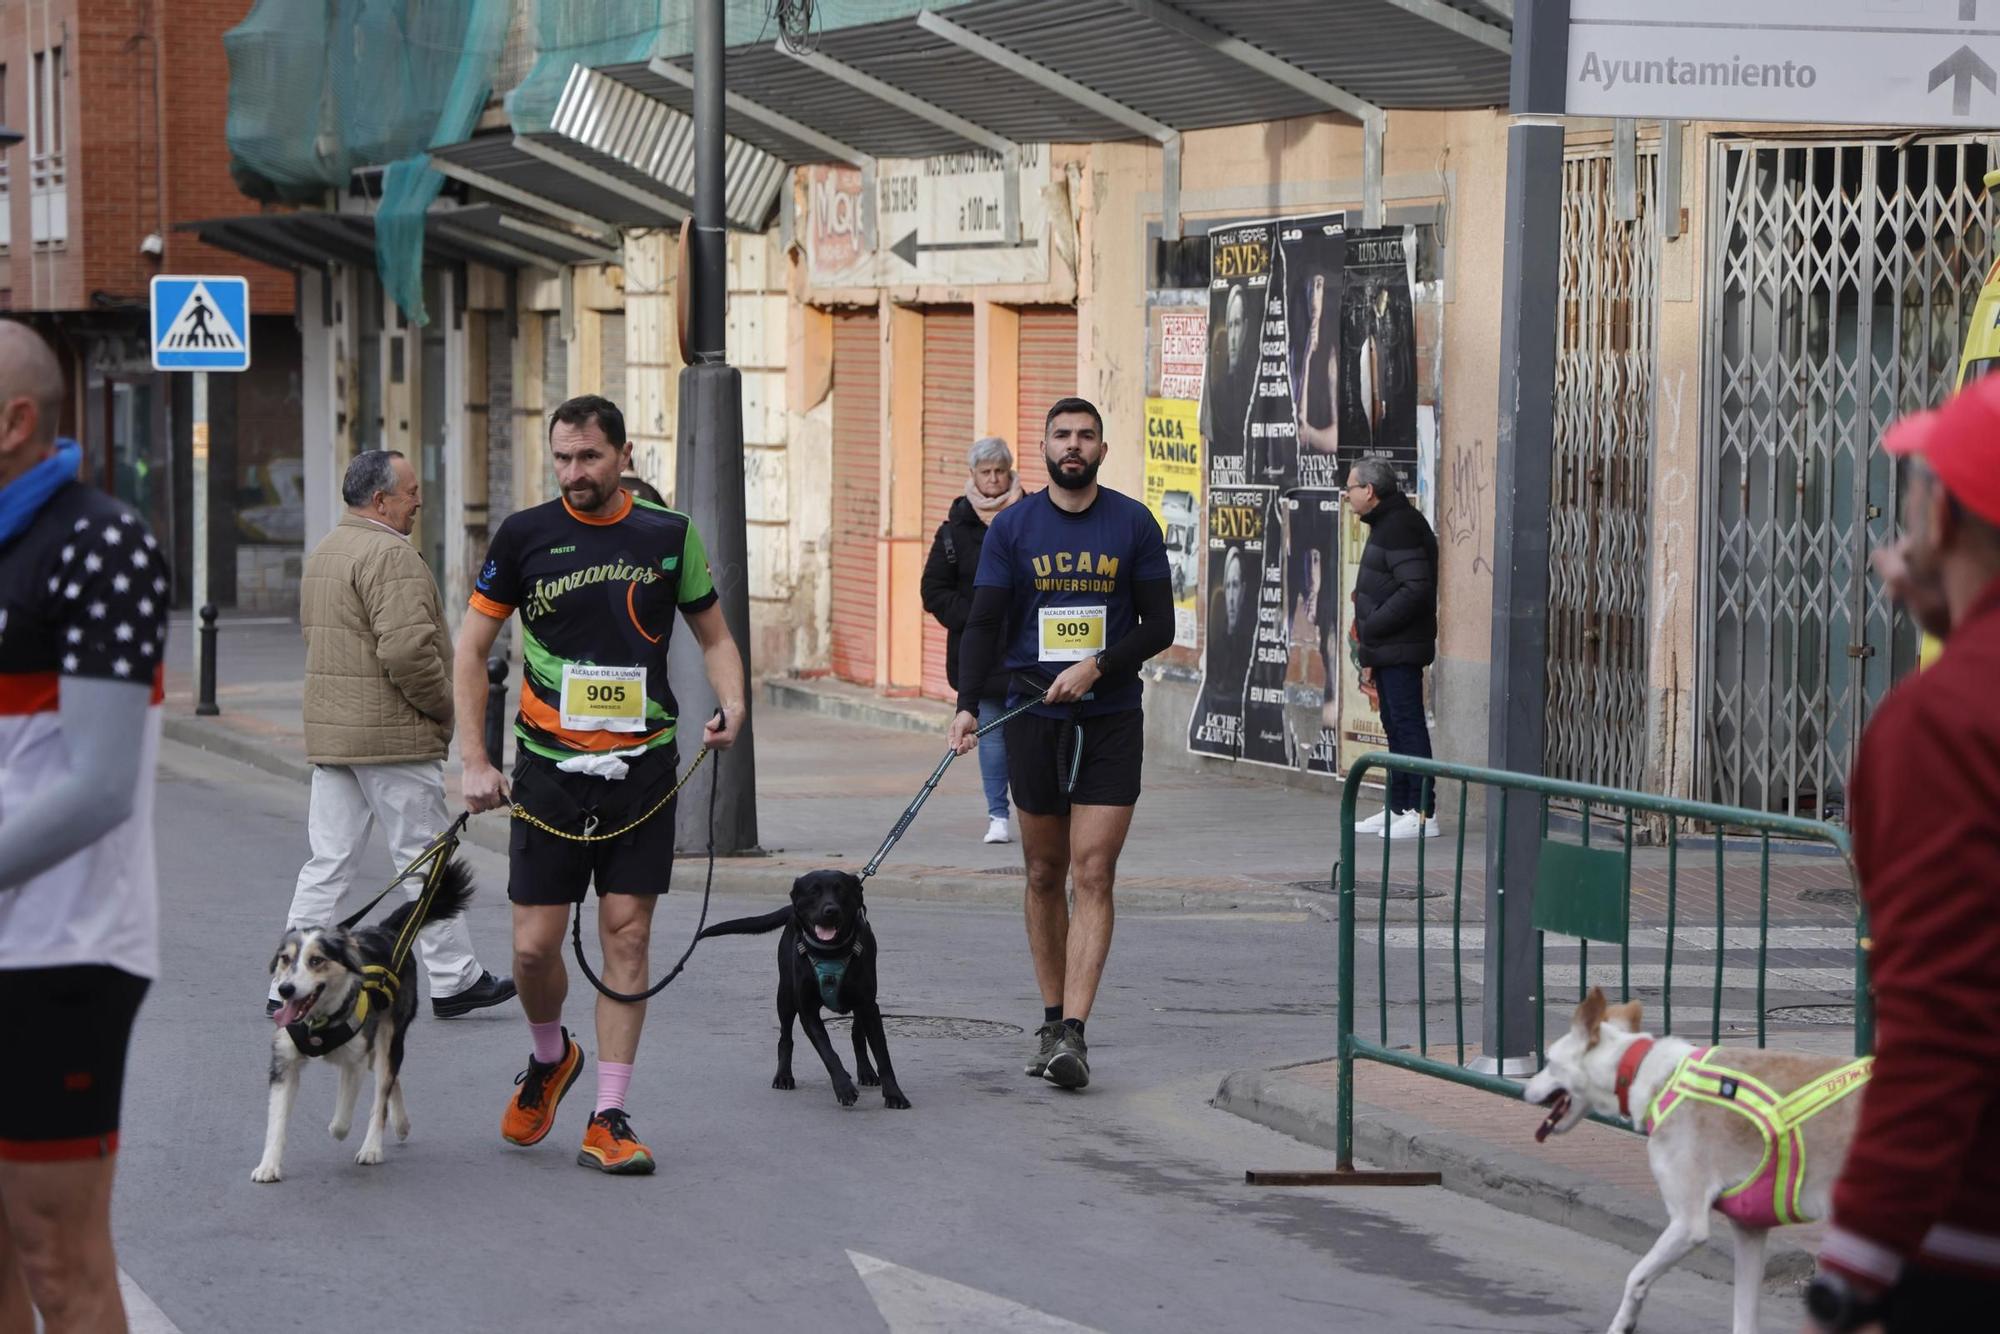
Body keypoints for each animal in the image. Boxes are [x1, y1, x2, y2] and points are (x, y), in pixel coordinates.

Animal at [254, 860, 476, 1184]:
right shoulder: (284, 1064)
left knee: (383, 1090)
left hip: (388, 1038)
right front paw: (268, 1166)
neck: (319, 1023)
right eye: (285, 959)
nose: (285, 990)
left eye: (316, 960)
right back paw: (402, 1123)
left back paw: (372, 1148)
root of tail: (386, 931)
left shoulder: (354, 1060)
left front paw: (340, 1130)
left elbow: (343, 1118)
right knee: (392, 1081)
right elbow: (276, 1123)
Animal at [700, 872, 912, 1112]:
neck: (832, 951)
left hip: (861, 1006)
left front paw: (894, 1094)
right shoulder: (807, 1011)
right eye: (813, 892)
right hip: (784, 997)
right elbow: (828, 1052)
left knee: (857, 1034)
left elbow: (882, 1055)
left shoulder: (869, 1005)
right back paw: (783, 1076)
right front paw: (843, 1088)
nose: (831, 910)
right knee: (785, 1039)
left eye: (841, 890)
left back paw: (866, 1072)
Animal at [1528, 988, 1872, 1328]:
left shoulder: (1687, 1223)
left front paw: (1622, 1324)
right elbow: (1743, 1317)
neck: (1648, 1074)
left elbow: (1635, 1277)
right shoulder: (1748, 1229)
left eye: (1549, 1061)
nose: (1527, 1088)